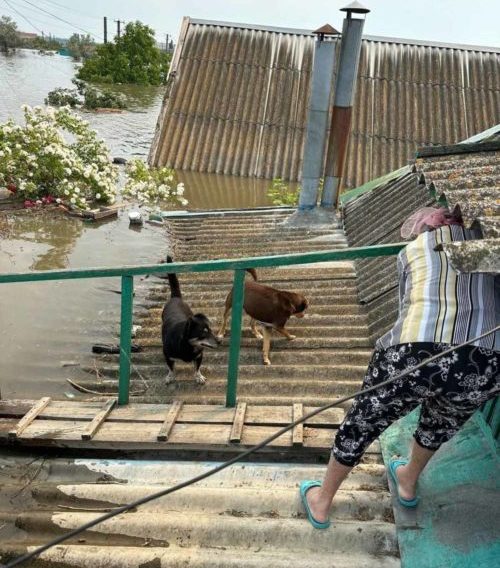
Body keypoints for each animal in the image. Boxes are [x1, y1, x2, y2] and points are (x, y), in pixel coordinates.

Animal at [163, 258, 220, 386]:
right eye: (204, 332)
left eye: (211, 330)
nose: (220, 341)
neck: (188, 345)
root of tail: (176, 297)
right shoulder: (167, 355)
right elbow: (170, 367)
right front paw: (170, 376)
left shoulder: (199, 355)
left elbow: (197, 367)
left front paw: (199, 377)